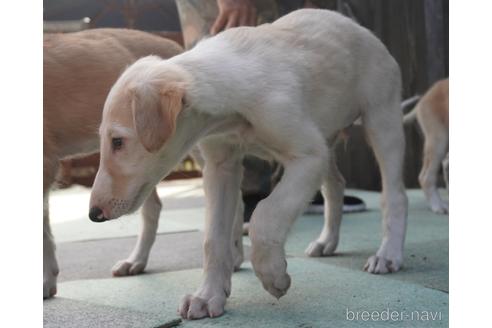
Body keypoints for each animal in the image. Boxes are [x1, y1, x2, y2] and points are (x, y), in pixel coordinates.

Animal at [90, 9, 410, 320]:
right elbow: (213, 239)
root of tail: (358, 27)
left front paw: (274, 275)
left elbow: (265, 215)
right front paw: (208, 296)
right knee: (336, 186)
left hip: (381, 119)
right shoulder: (222, 167)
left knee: (395, 195)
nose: (94, 214)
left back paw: (388, 254)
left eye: (117, 141)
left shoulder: (307, 155)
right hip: (326, 137)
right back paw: (327, 242)